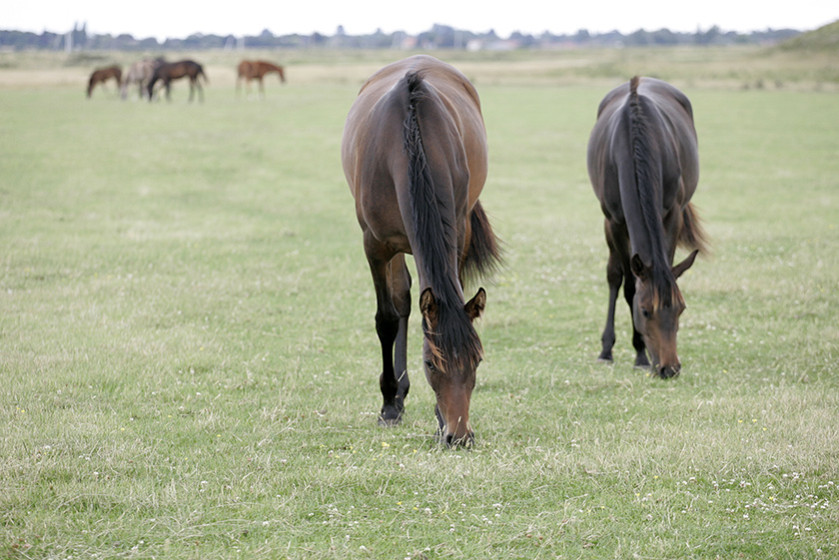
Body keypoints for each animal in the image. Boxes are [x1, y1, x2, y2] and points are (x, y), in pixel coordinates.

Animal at [340, 55, 498, 446]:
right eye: (430, 363)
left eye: (477, 360)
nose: (460, 436)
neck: (409, 143)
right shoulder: (375, 244)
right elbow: (386, 318)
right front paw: (388, 404)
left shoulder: (457, 232)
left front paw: (438, 418)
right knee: (402, 299)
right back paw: (397, 395)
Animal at [592, 76, 708, 378]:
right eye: (644, 311)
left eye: (681, 309)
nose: (670, 368)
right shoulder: (615, 221)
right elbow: (629, 286)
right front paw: (640, 354)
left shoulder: (673, 214)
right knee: (614, 275)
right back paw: (606, 350)